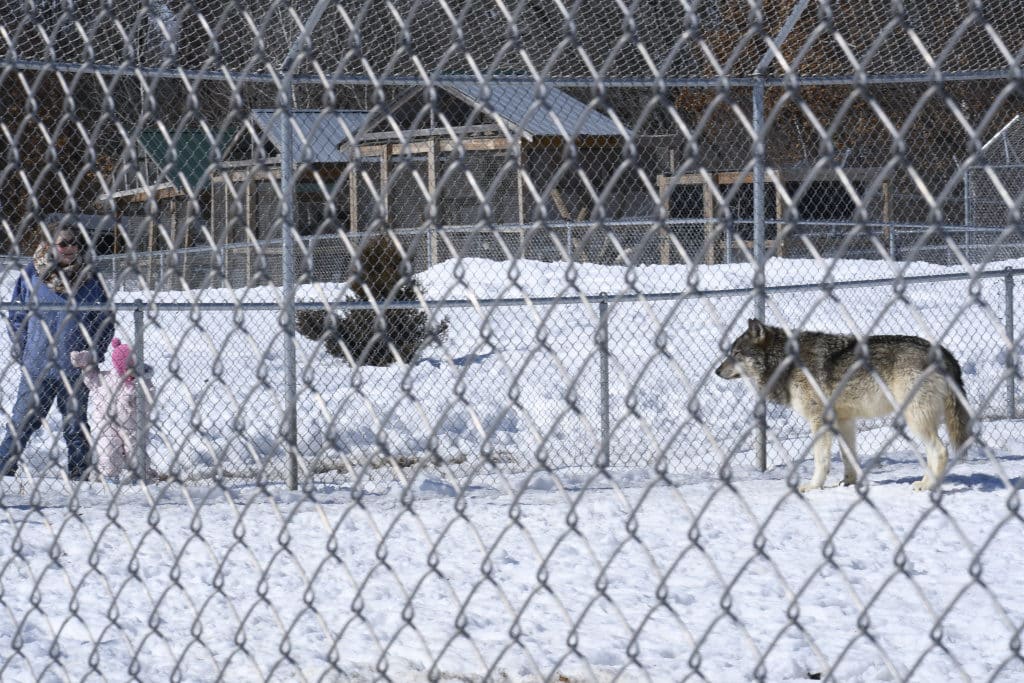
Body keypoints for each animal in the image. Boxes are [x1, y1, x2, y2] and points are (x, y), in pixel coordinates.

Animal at [712, 321, 966, 491]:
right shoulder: (844, 420)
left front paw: (814, 486)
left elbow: (820, 460)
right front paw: (849, 483)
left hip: (915, 419)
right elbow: (848, 457)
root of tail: (944, 352)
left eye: (736, 353)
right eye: (730, 353)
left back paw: (927, 485)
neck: (787, 363)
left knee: (940, 451)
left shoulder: (819, 419)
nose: (716, 371)